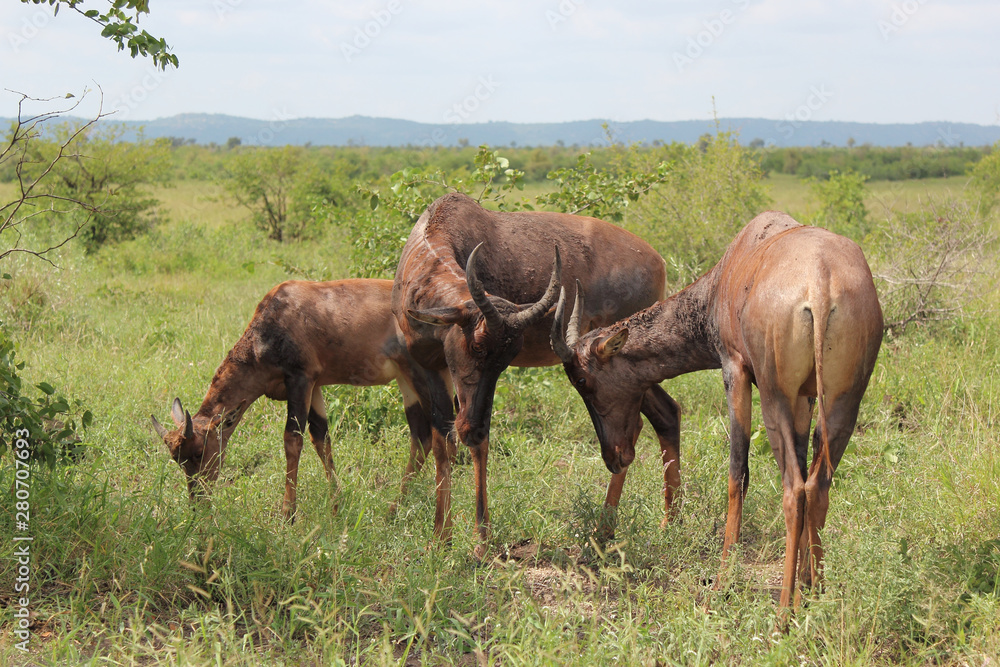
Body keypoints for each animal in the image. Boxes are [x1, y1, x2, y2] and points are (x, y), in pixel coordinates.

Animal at [552, 211, 888, 608]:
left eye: (583, 380)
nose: (615, 456)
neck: (738, 259)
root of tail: (821, 283)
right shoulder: (805, 398)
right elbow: (803, 466)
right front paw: (806, 582)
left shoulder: (735, 369)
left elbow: (737, 472)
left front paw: (724, 579)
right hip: (842, 401)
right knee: (817, 485)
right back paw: (814, 595)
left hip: (774, 394)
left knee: (793, 487)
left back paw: (783, 613)